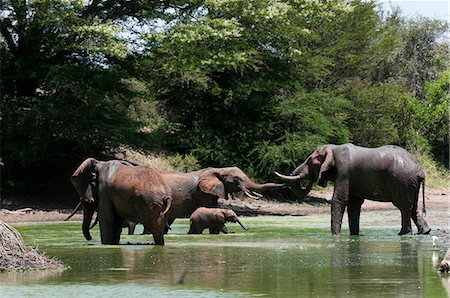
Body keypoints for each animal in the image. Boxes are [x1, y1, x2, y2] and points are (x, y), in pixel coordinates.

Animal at [276, 143, 430, 236]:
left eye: (310, 161)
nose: (314, 178)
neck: (333, 148)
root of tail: (420, 171)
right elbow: (354, 204)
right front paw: (354, 235)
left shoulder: (344, 171)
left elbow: (339, 199)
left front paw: (335, 236)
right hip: (410, 184)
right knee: (412, 206)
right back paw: (424, 232)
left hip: (402, 181)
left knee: (403, 207)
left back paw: (403, 234)